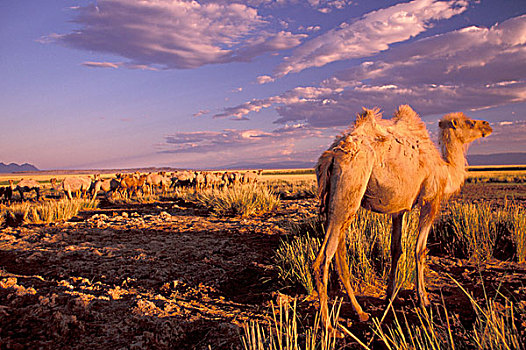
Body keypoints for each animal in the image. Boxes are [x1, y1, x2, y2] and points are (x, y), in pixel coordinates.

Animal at [318, 104, 496, 334]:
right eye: (470, 123)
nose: (488, 124)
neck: (446, 170)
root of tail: (331, 154)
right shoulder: (431, 199)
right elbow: (419, 250)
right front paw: (424, 300)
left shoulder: (399, 209)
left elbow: (396, 249)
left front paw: (389, 296)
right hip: (350, 185)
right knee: (324, 256)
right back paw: (328, 325)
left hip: (341, 198)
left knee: (339, 251)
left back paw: (360, 312)